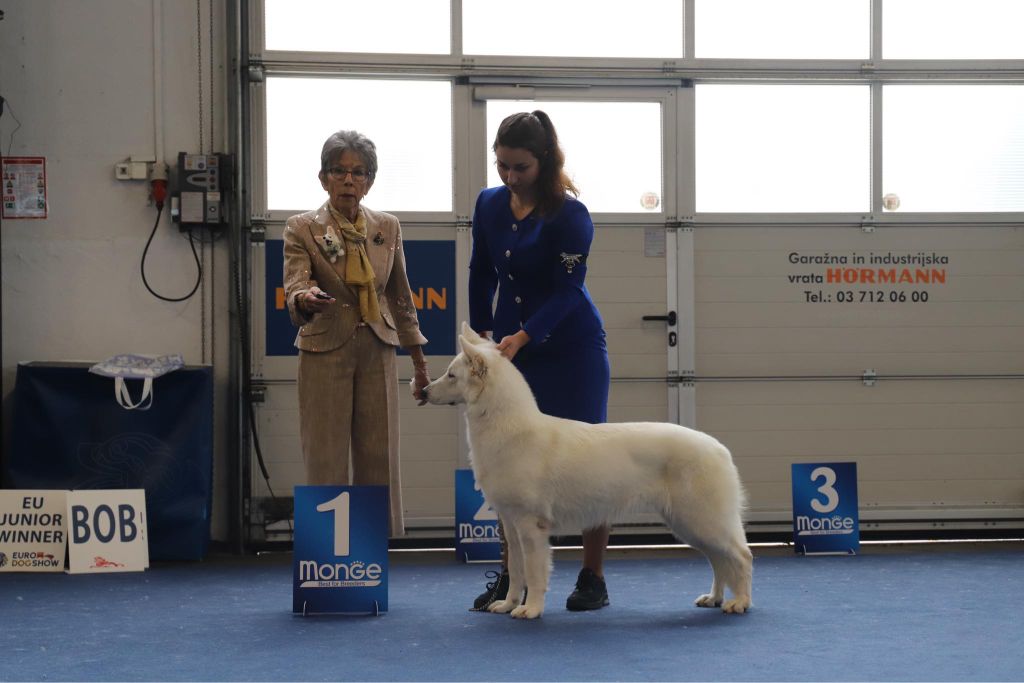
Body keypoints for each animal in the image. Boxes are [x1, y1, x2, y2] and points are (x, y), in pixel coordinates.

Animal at [421, 325, 753, 618]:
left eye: (451, 375)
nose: (422, 390)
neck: (507, 426)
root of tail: (720, 448)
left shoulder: (531, 526)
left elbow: (534, 573)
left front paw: (531, 610)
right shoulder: (511, 526)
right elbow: (515, 571)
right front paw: (507, 604)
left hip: (702, 521)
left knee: (741, 556)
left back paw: (740, 602)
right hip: (690, 525)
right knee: (720, 561)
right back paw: (714, 598)